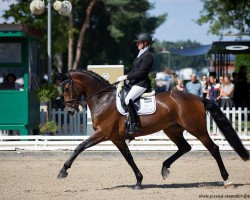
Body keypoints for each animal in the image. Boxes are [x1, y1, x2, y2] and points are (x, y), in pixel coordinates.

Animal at [57, 70, 249, 189]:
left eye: (67, 88)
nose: (70, 111)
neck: (103, 99)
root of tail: (197, 97)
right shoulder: (116, 138)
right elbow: (129, 158)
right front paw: (139, 181)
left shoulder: (102, 134)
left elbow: (79, 147)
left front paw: (63, 171)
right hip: (172, 130)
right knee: (185, 147)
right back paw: (165, 168)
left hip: (197, 128)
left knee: (214, 148)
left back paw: (226, 179)